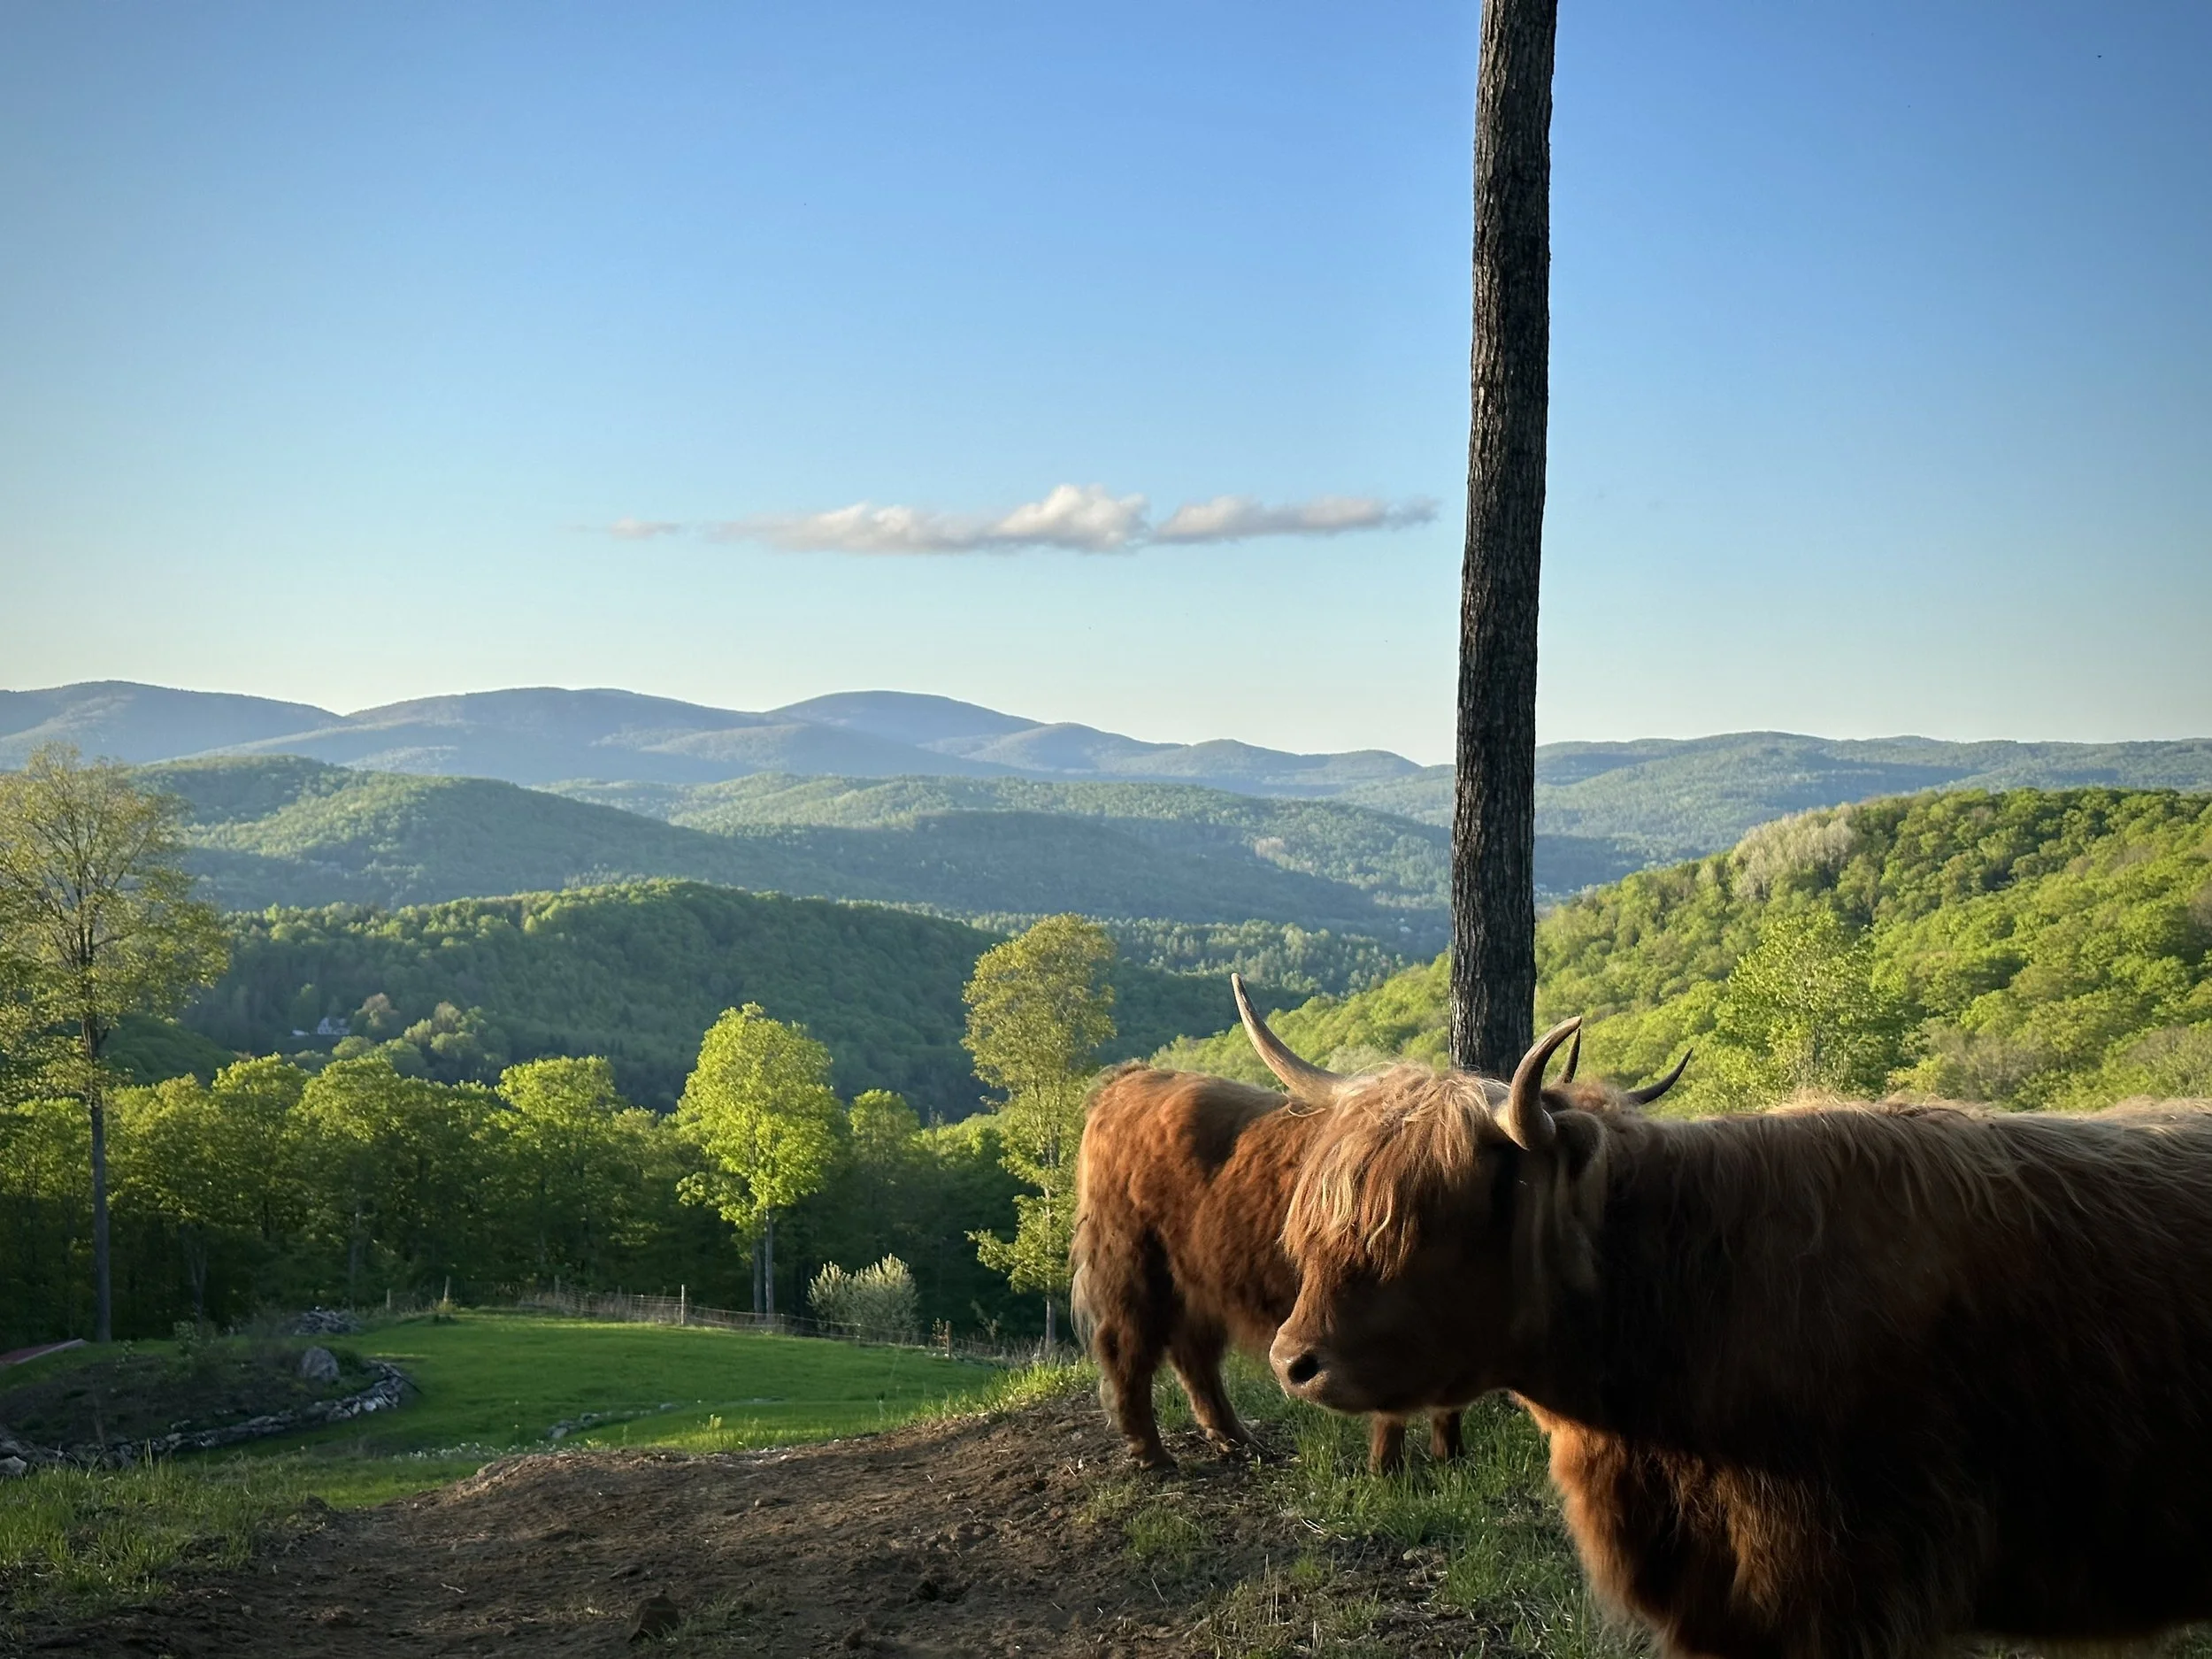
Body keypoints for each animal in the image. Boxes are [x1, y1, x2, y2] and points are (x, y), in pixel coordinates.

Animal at [1070, 976, 1684, 1473]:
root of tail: (1130, 1081)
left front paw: (1450, 1457)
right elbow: (1393, 1401)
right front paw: (1389, 1468)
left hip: (1198, 1276)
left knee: (1194, 1354)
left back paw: (1237, 1440)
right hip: (1132, 1267)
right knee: (1128, 1350)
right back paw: (1153, 1454)